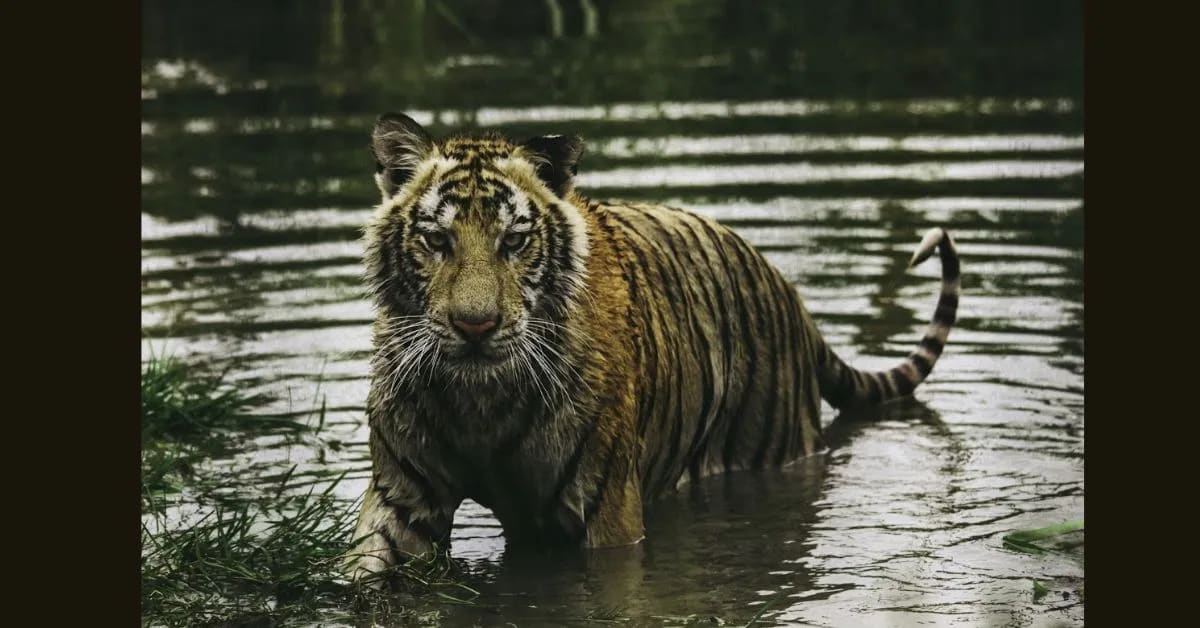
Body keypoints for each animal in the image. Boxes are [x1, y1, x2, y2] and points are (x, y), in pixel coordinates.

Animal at [345, 112, 960, 583]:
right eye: (436, 240)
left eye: (514, 241)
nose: (475, 327)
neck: (480, 403)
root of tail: (792, 297)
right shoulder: (402, 499)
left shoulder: (605, 512)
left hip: (771, 449)